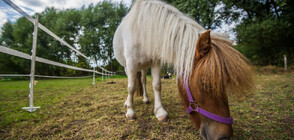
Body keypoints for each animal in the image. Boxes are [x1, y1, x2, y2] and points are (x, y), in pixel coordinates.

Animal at [112, 0, 253, 139]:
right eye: (204, 82)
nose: (224, 136)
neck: (142, 31)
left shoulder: (155, 63)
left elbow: (156, 85)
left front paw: (160, 112)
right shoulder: (131, 65)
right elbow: (131, 87)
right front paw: (130, 112)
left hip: (144, 67)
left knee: (143, 81)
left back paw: (146, 99)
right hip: (128, 67)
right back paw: (127, 102)